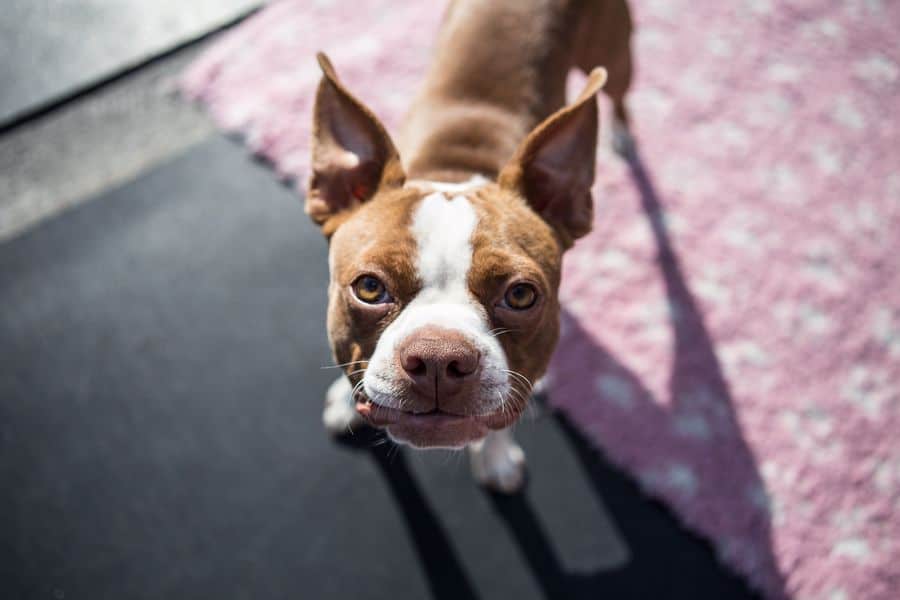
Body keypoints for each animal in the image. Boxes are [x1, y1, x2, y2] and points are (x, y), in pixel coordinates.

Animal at [308, 0, 632, 490]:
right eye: (368, 288)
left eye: (521, 295)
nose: (438, 359)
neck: (455, 171)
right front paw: (345, 401)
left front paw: (496, 459)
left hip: (615, 53)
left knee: (620, 93)